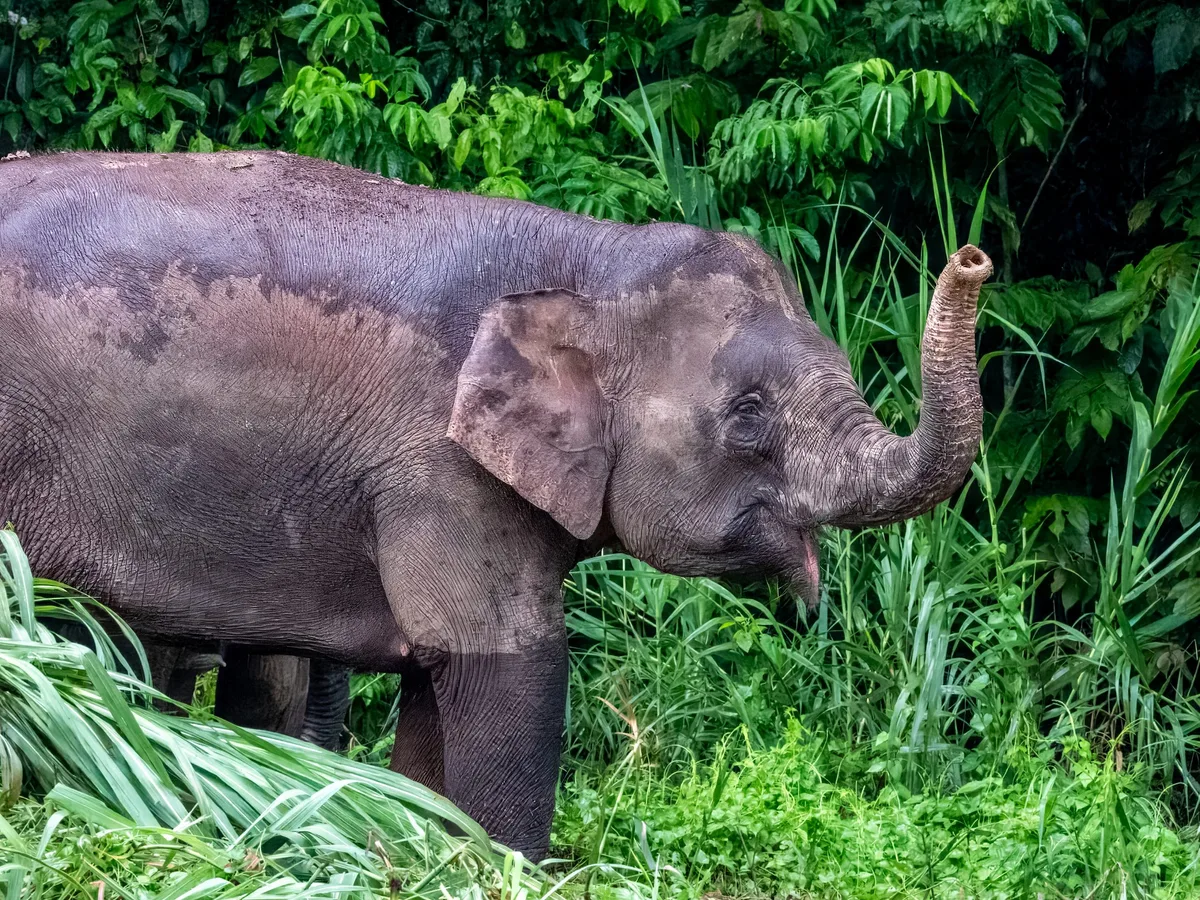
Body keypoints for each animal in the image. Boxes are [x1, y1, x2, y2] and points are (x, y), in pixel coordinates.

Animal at [0, 150, 991, 858]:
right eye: (749, 415)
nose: (972, 256)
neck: (589, 257)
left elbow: (436, 695)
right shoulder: (437, 469)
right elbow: (506, 664)